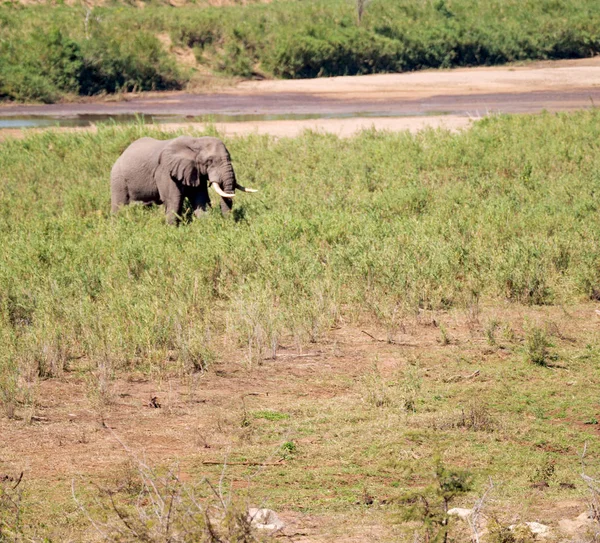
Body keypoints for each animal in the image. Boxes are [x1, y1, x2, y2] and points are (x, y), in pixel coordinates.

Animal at [110, 135, 255, 224]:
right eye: (209, 161)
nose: (229, 223)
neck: (196, 142)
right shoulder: (165, 171)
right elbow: (173, 200)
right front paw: (172, 230)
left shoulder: (196, 171)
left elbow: (200, 198)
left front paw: (206, 225)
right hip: (118, 179)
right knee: (119, 205)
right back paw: (117, 226)